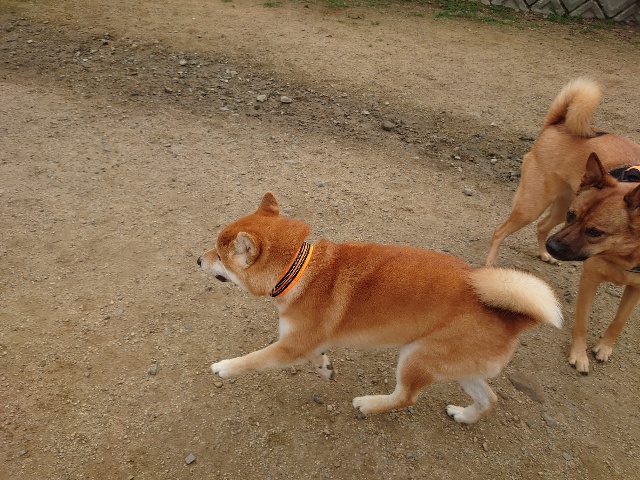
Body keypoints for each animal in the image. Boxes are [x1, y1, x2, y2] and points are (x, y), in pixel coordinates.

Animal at [198, 192, 562, 423]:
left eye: (220, 255)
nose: (199, 259)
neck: (297, 270)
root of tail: (514, 320)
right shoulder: (303, 342)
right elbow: (317, 356)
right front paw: (325, 368)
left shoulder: (290, 347)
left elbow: (253, 360)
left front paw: (225, 368)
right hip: (458, 365)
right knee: (489, 400)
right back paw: (463, 415)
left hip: (415, 355)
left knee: (406, 398)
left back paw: (368, 405)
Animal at [486, 78, 640, 266]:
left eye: (595, 232)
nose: (553, 247)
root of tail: (558, 124)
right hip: (531, 208)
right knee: (500, 231)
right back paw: (490, 263)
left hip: (562, 207)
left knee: (542, 226)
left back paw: (544, 254)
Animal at [546, 153, 640, 374]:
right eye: (571, 215)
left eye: (595, 232)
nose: (550, 246)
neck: (621, 256)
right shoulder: (589, 280)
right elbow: (582, 323)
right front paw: (579, 355)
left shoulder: (635, 289)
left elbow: (619, 322)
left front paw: (605, 347)